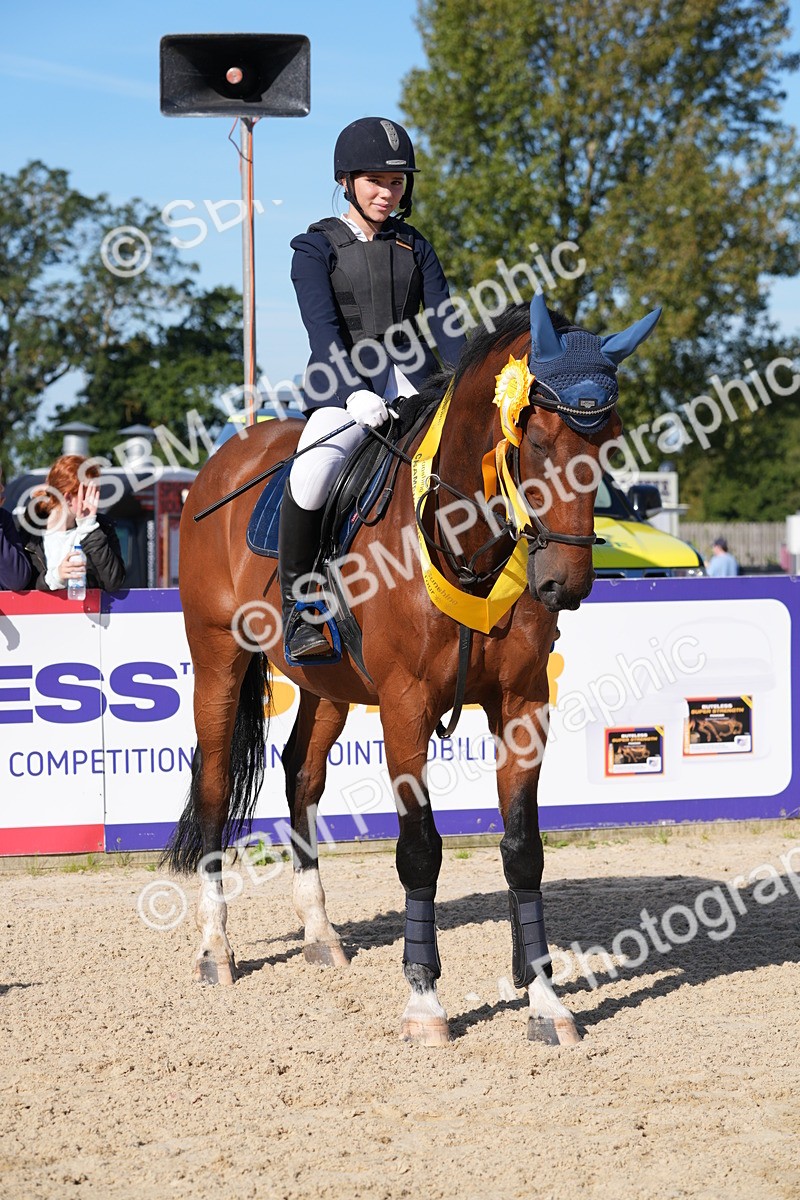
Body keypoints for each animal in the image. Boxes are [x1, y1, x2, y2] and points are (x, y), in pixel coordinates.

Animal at [167, 292, 661, 1046]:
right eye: (536, 442)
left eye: (609, 442)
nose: (565, 586)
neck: (463, 537)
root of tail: (227, 459)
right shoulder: (405, 706)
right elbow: (420, 848)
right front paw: (425, 1001)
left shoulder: (524, 705)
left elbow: (525, 848)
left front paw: (545, 1000)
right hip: (219, 656)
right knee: (218, 786)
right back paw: (215, 948)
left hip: (329, 685)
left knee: (300, 775)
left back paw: (320, 933)